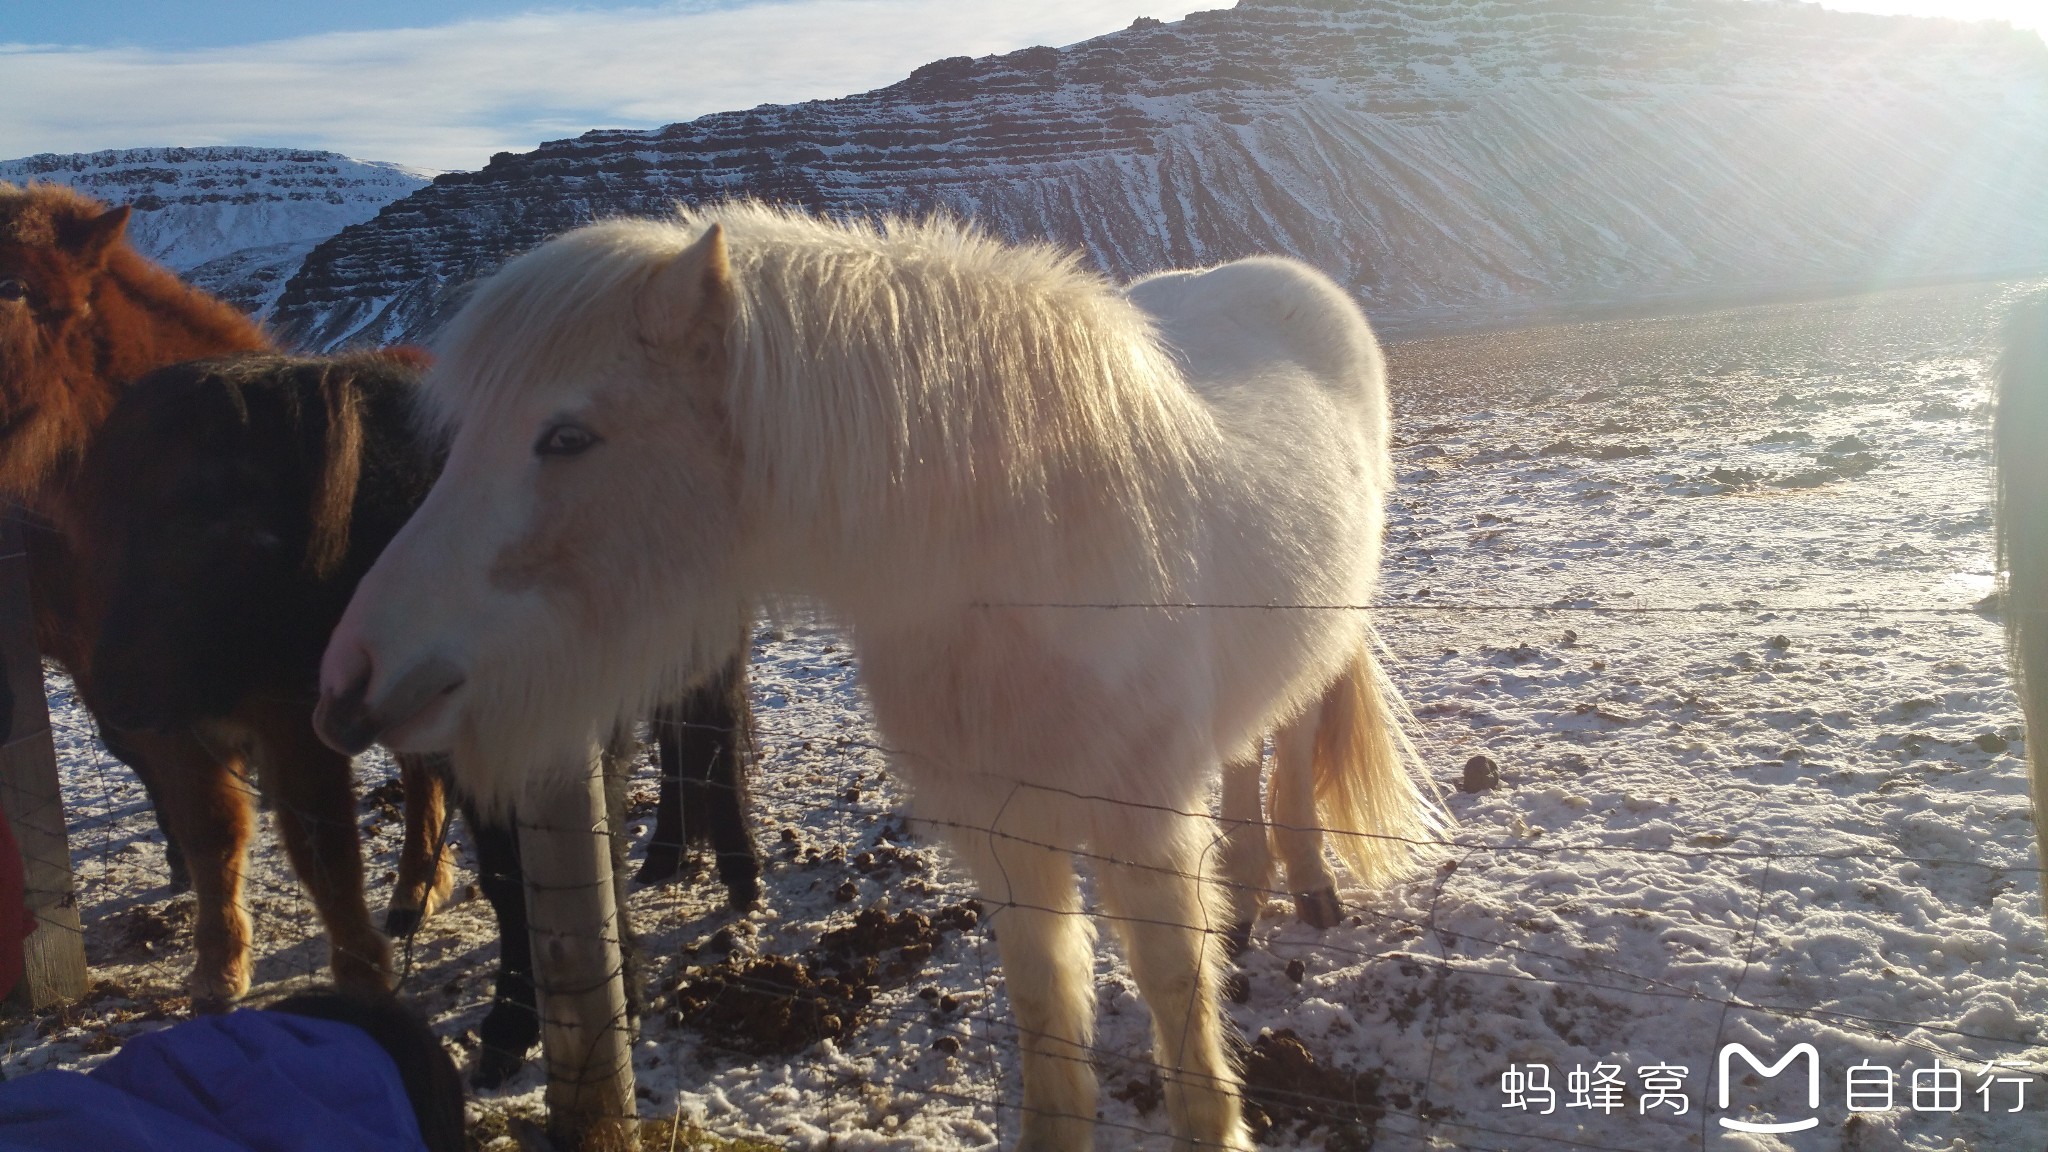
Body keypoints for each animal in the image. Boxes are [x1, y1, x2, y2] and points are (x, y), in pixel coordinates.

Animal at [0, 179, 448, 996]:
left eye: (12, 286)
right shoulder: (164, 716)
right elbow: (213, 830)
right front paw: (218, 965)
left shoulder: (292, 713)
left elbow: (320, 846)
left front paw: (361, 973)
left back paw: (415, 892)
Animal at [315, 201, 1441, 1139]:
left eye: (566, 436)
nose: (350, 676)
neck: (1020, 563)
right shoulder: (1010, 842)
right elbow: (1050, 1029)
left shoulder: (1144, 831)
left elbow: (1184, 1029)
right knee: (1247, 752)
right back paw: (1248, 899)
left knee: (1294, 740)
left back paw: (1304, 889)